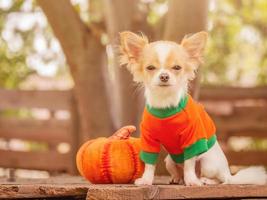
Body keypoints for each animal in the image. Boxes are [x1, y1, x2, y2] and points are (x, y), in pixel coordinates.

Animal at [120, 30, 267, 186]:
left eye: (177, 68)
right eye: (150, 68)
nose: (164, 76)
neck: (165, 103)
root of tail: (228, 172)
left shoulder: (192, 139)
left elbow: (189, 164)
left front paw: (192, 181)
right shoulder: (149, 140)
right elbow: (149, 163)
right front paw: (146, 180)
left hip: (209, 164)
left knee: (221, 179)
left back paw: (204, 180)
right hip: (169, 161)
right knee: (178, 171)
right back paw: (176, 179)